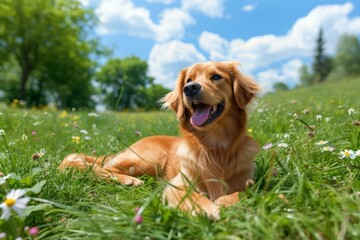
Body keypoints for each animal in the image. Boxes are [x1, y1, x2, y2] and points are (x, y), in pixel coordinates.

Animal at [60, 61, 260, 218]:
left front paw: (225, 201)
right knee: (102, 168)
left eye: (216, 76)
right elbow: (192, 195)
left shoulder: (248, 183)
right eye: (188, 80)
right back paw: (129, 180)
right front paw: (206, 208)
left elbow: (240, 193)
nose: (190, 88)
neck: (215, 148)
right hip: (149, 158)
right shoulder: (177, 184)